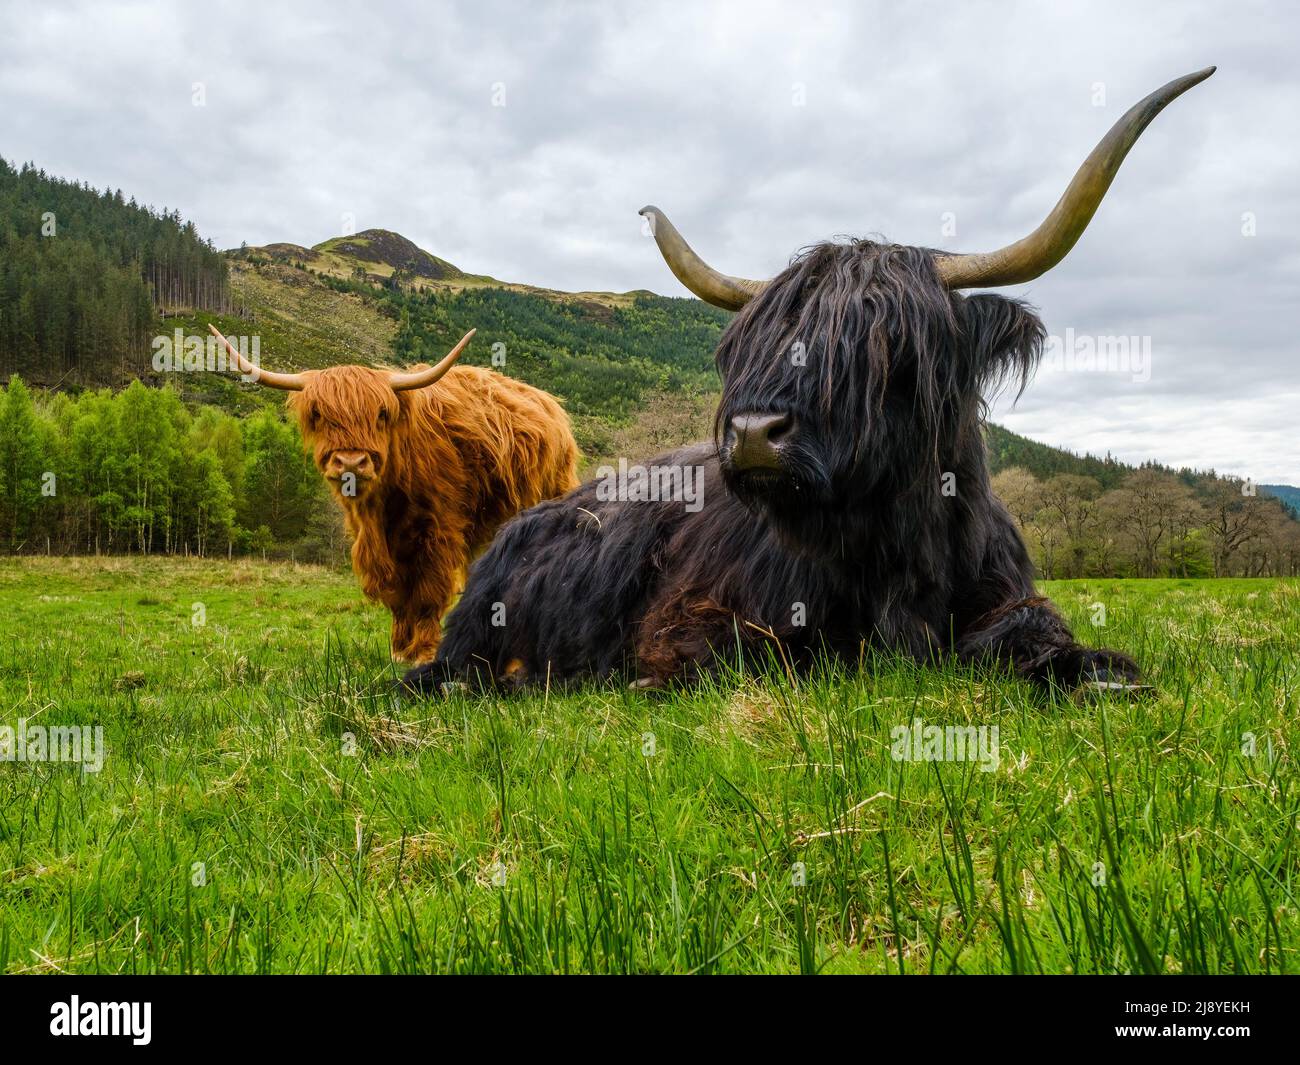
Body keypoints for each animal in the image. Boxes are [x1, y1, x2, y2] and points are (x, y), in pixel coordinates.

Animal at [210, 324, 579, 662]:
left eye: (381, 413)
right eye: (318, 414)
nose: (351, 462)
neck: (383, 506)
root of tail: (552, 405)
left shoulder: (438, 529)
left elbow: (428, 591)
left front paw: (424, 650)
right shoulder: (378, 545)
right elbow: (399, 597)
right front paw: (400, 649)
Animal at [404, 68, 1214, 696]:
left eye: (889, 339)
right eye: (746, 345)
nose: (754, 432)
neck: (896, 549)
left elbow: (1035, 634)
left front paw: (1103, 674)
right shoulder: (702, 617)